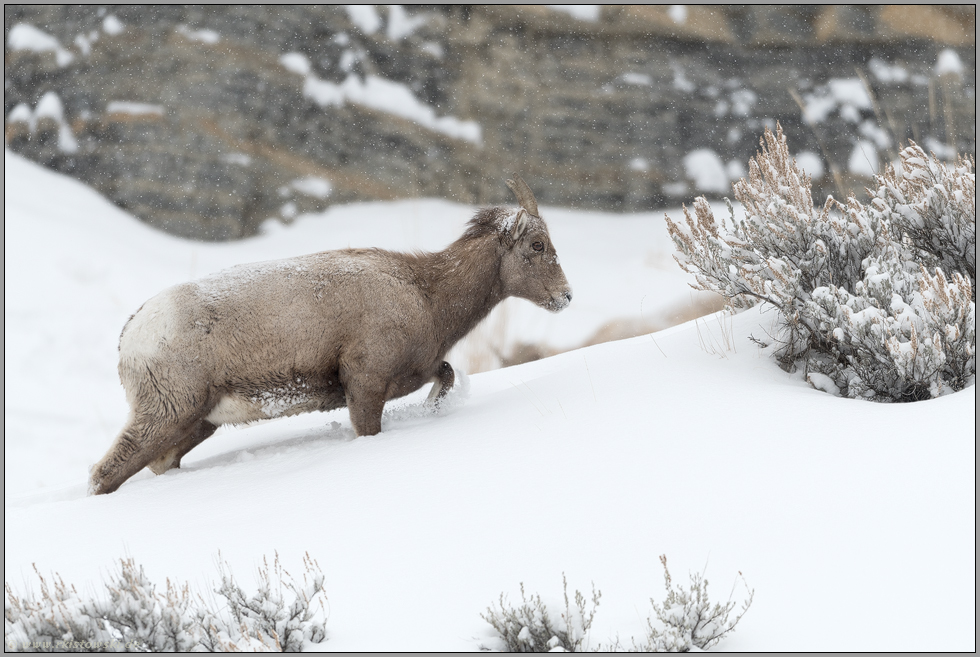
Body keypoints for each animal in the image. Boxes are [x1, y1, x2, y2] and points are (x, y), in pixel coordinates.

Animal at [90, 177, 576, 494]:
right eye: (537, 246)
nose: (566, 296)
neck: (426, 293)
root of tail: (132, 332)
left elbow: (447, 376)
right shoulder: (365, 384)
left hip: (194, 424)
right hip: (165, 414)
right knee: (103, 476)